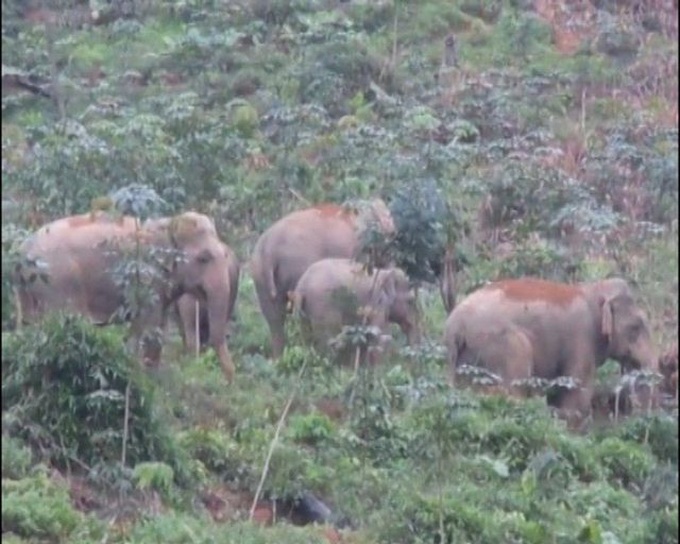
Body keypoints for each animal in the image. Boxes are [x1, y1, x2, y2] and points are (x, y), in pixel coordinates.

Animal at [14, 210, 236, 382]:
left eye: (226, 255)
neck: (168, 223)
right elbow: (149, 324)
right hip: (59, 281)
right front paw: (146, 376)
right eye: (204, 258)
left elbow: (155, 325)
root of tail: (23, 251)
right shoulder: (146, 277)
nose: (229, 379)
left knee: (27, 324)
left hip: (27, 288)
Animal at [249, 200, 396, 359]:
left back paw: (279, 358)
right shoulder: (360, 250)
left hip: (260, 277)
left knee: (275, 319)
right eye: (391, 234)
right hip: (296, 266)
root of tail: (268, 249)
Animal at [443, 277, 658, 421]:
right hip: (503, 345)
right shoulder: (581, 338)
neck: (594, 289)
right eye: (636, 327)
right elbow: (576, 393)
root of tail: (455, 326)